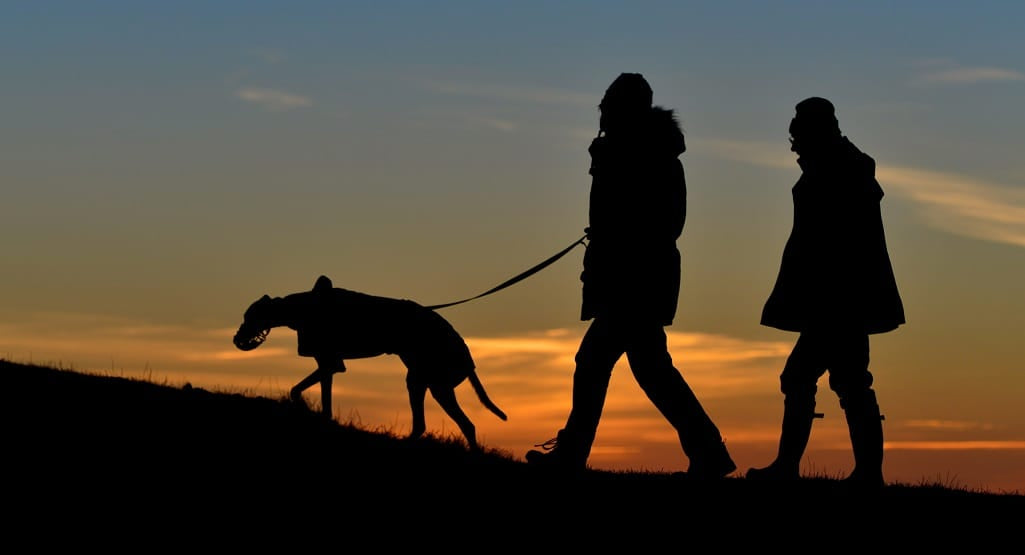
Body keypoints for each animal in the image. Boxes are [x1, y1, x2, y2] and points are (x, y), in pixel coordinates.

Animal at [230, 274, 506, 447]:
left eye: (248, 316)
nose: (236, 339)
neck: (304, 308)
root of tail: (468, 358)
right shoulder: (328, 364)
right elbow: (321, 399)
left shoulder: (330, 363)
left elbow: (297, 389)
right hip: (421, 381)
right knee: (427, 425)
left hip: (436, 385)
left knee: (466, 425)